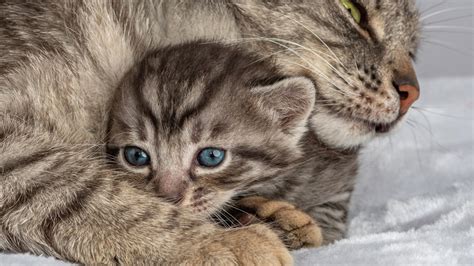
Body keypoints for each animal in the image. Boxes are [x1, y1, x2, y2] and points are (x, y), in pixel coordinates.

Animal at [0, 0, 422, 262]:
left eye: (413, 49)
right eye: (353, 11)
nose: (411, 92)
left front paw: (278, 218)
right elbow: (79, 193)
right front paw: (220, 242)